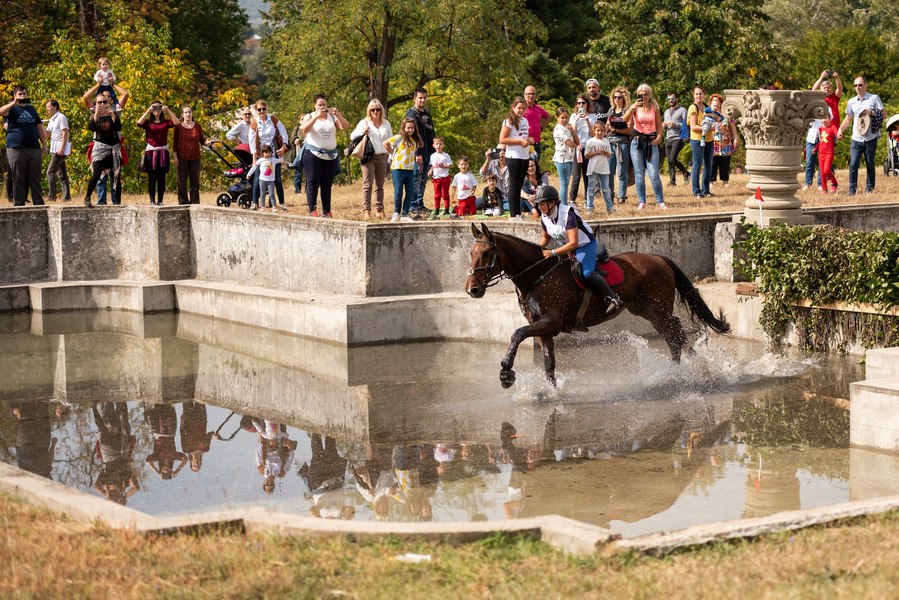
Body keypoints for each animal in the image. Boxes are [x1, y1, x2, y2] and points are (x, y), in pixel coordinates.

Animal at [465, 223, 730, 388]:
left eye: (486, 253)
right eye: (471, 252)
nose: (472, 289)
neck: (537, 275)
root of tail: (660, 257)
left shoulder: (551, 322)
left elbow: (517, 334)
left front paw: (506, 373)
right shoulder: (544, 327)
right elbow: (549, 362)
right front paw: (549, 392)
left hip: (659, 308)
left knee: (675, 332)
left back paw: (689, 368)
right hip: (647, 310)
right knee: (672, 333)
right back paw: (678, 370)